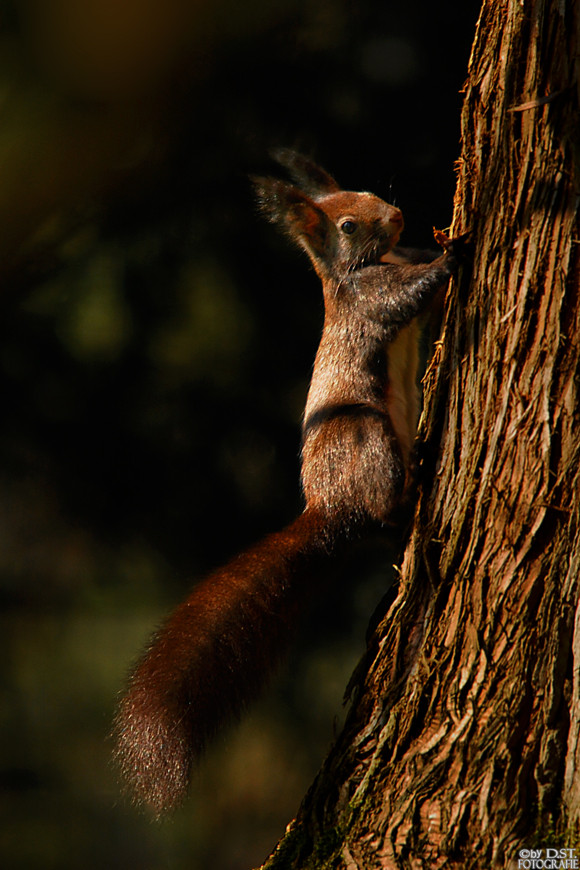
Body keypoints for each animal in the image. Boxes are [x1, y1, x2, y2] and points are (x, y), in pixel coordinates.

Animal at [114, 148, 466, 816]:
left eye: (368, 191)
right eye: (347, 225)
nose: (398, 214)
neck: (364, 267)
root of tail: (327, 510)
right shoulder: (368, 301)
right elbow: (407, 297)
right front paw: (455, 251)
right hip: (361, 438)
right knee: (384, 515)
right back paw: (410, 495)